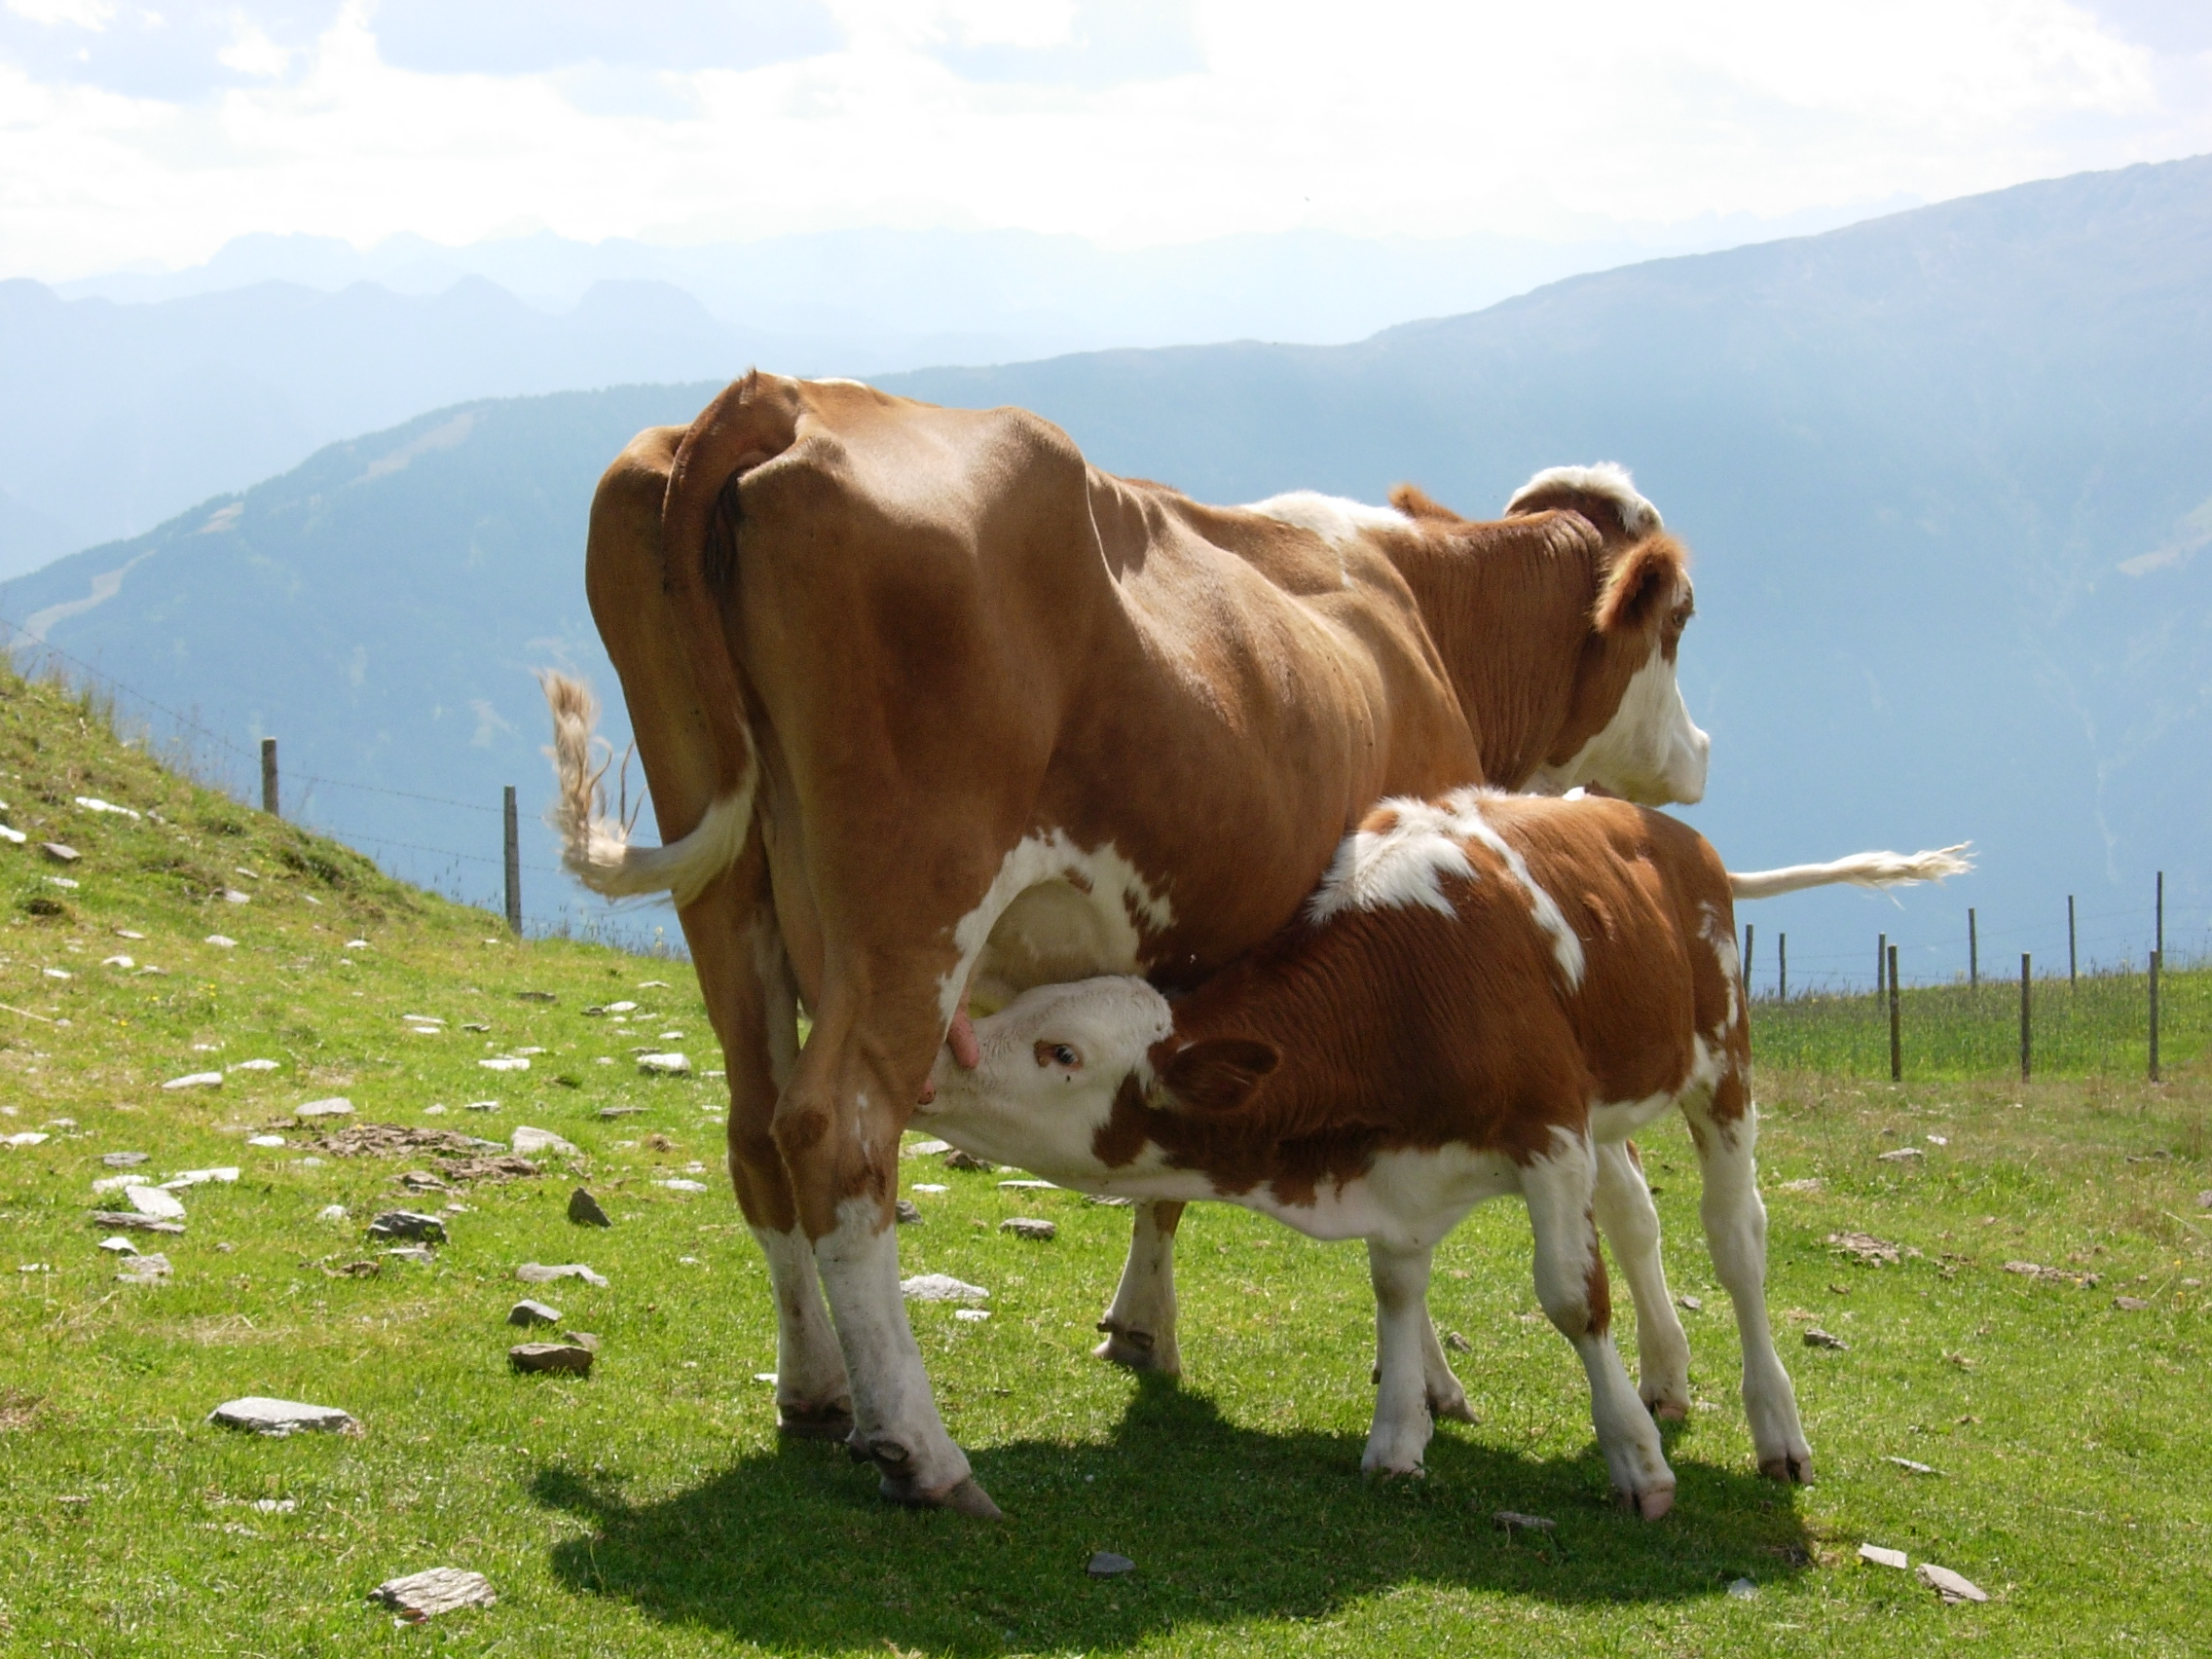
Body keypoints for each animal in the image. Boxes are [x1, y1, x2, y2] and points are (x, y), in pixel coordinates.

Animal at [543, 370, 1712, 1517]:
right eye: (1682, 620)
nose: (1701, 750)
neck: (1427, 620)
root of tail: (785, 394)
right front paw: (1435, 1384)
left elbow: (1167, 1168)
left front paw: (1145, 1324)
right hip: (913, 896)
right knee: (837, 1127)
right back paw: (925, 1454)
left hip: (724, 888)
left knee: (754, 1130)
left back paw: (818, 1390)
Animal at [917, 788, 1825, 1514]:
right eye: (1022, 1009)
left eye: (1062, 1052)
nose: (933, 1064)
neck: (1404, 988)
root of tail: (1665, 827)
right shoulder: (1402, 1160)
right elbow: (1395, 1285)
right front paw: (1396, 1441)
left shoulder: (1551, 1134)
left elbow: (1572, 1297)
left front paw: (1636, 1463)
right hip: (1613, 1111)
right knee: (1638, 1222)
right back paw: (1666, 1378)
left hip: (1722, 1068)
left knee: (1736, 1239)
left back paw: (1776, 1429)